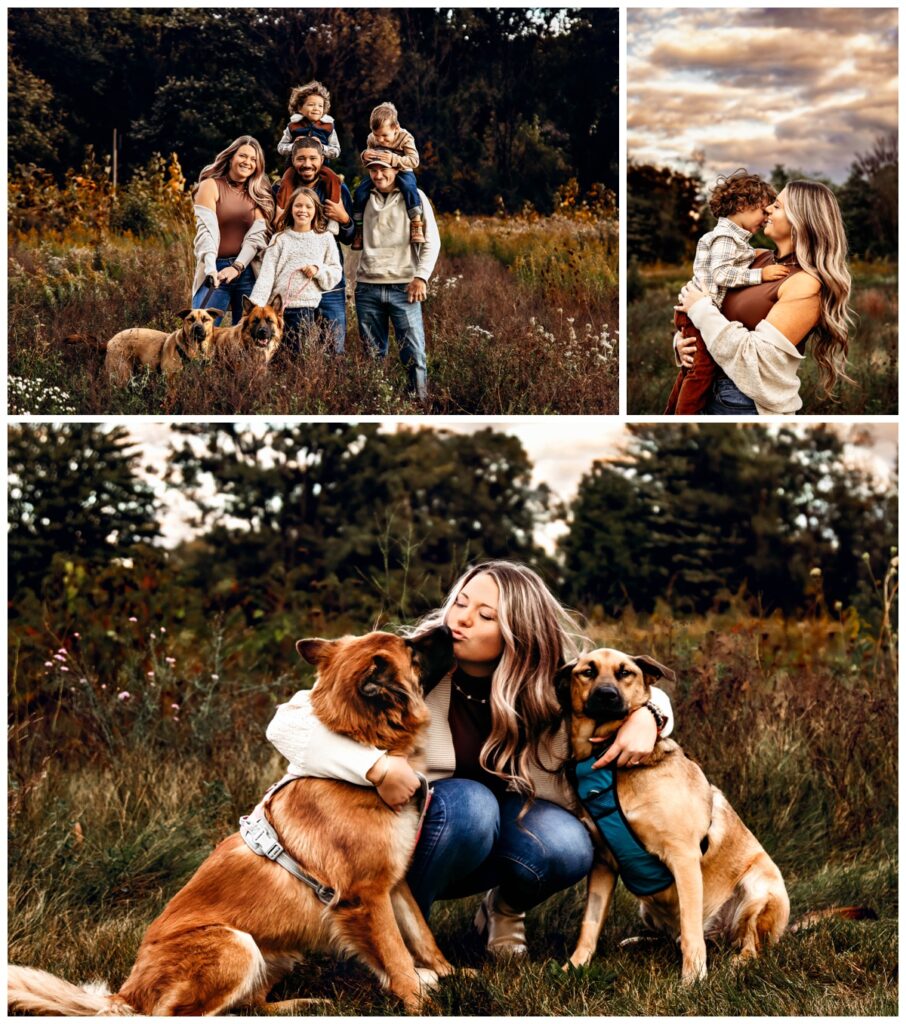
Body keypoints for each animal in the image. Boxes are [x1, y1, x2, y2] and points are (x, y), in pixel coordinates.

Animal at [7, 626, 456, 1011]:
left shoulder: (394, 884)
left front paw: (454, 975)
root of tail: (128, 995)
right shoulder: (366, 898)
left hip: (275, 952)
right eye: (411, 648)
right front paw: (420, 1003)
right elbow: (396, 955)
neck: (368, 759)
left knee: (250, 1005)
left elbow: (422, 936)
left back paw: (304, 1004)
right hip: (234, 944)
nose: (448, 628)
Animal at [556, 647, 790, 983]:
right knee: (674, 937)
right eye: (588, 671)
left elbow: (692, 933)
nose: (606, 695)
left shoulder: (683, 857)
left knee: (747, 944)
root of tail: (720, 934)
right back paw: (639, 941)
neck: (610, 764)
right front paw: (574, 967)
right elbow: (589, 925)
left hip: (760, 889)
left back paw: (735, 964)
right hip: (648, 911)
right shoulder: (602, 865)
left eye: (625, 672)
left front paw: (693, 980)